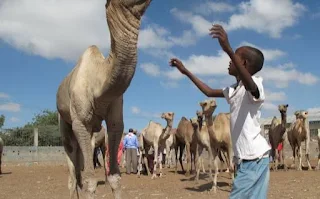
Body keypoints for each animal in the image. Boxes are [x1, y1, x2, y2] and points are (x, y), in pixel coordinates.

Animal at [55, 0, 152, 198]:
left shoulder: (115, 120)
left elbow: (115, 177)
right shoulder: (80, 123)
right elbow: (90, 180)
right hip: (64, 123)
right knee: (72, 172)